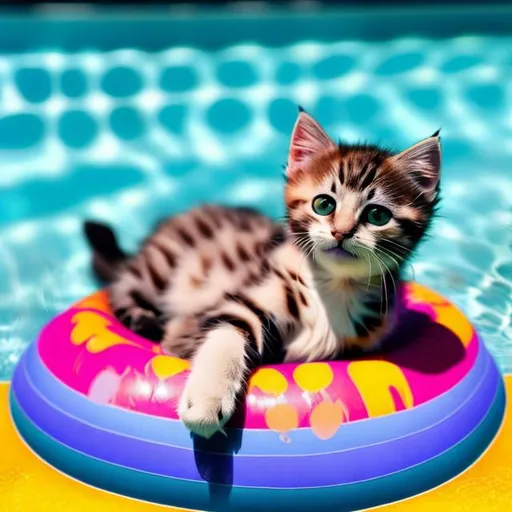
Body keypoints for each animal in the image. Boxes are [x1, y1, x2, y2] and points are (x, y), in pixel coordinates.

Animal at [83, 111, 440, 436]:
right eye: (324, 205)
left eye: (377, 215)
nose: (341, 232)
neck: (334, 289)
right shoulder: (245, 301)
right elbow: (224, 339)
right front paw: (206, 402)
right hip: (160, 267)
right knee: (122, 288)